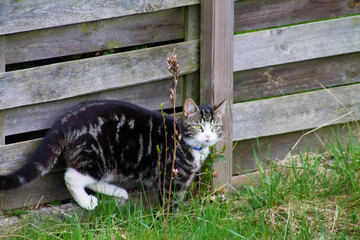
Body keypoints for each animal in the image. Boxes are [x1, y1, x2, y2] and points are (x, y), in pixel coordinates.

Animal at [0, 97, 225, 210]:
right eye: (198, 126)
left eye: (215, 127)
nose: (207, 136)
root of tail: (65, 120)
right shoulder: (169, 178)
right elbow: (170, 205)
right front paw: (171, 224)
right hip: (96, 157)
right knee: (72, 176)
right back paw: (87, 202)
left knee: (90, 179)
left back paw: (118, 192)